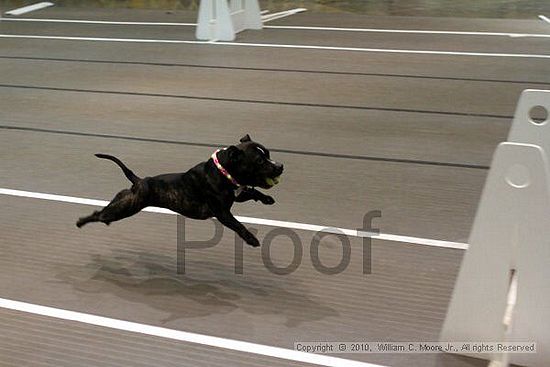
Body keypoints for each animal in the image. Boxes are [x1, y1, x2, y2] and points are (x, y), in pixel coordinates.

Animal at [75, 134, 284, 247]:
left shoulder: (236, 194)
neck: (224, 171)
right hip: (125, 207)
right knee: (100, 215)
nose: (280, 166)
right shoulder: (223, 213)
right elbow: (238, 225)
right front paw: (251, 239)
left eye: (268, 154)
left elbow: (252, 192)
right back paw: (81, 222)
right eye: (259, 161)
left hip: (124, 202)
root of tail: (139, 181)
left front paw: (266, 199)